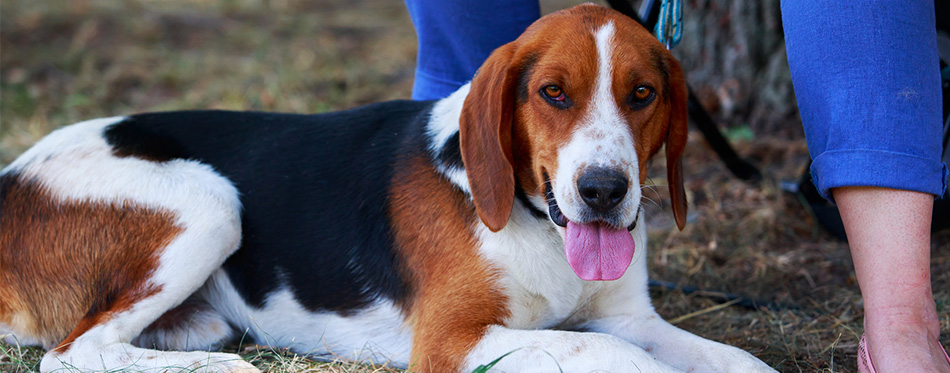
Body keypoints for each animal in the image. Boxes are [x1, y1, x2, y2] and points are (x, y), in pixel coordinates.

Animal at [0, 4, 772, 370]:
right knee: (73, 352)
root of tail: (11, 178)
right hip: (213, 204)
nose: (605, 191)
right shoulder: (452, 341)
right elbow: (615, 354)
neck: (537, 225)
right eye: (553, 93)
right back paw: (219, 370)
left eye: (643, 94)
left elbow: (732, 358)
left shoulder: (631, 316)